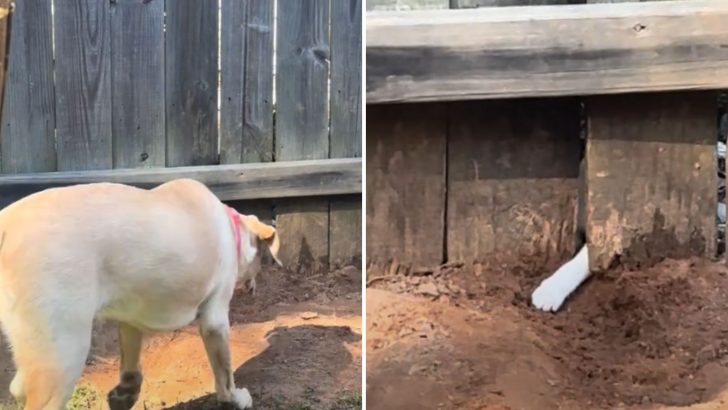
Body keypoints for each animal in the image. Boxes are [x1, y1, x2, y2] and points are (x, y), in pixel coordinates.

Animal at [0, 179, 278, 410]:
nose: (255, 282)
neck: (231, 229)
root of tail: (6, 223)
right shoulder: (215, 320)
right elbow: (225, 374)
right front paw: (236, 398)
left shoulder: (130, 318)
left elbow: (131, 362)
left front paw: (124, 394)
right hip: (64, 354)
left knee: (17, 387)